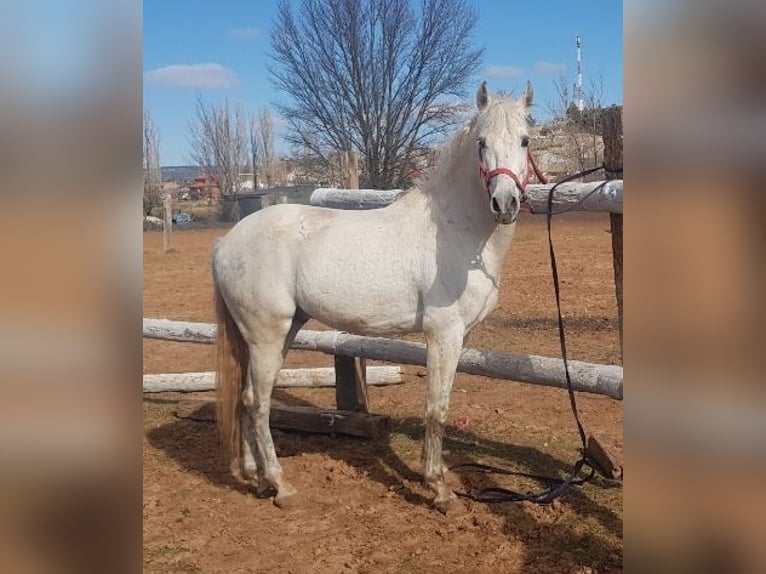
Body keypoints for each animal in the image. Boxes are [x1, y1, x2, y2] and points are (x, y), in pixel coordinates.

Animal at [213, 80, 540, 512]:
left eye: (524, 140)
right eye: (481, 143)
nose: (504, 204)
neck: (454, 230)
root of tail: (225, 243)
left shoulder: (460, 336)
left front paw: (439, 475)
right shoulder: (443, 334)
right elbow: (436, 410)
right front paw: (439, 489)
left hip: (279, 334)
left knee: (245, 399)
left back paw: (256, 476)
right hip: (267, 336)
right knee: (257, 403)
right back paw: (282, 486)